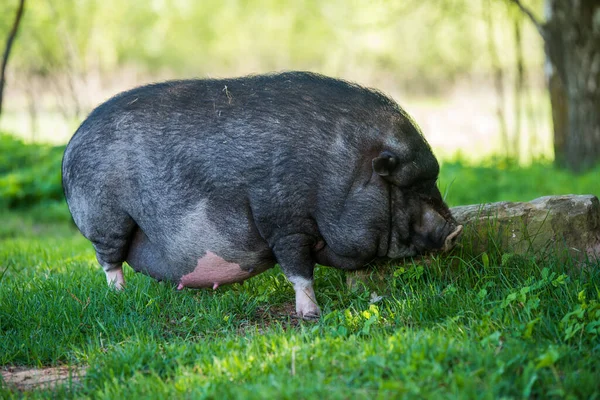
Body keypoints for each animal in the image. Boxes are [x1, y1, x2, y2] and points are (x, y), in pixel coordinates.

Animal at [63, 72, 462, 320]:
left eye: (432, 181)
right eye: (408, 186)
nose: (455, 230)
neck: (340, 174)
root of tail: (71, 141)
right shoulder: (284, 222)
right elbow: (299, 270)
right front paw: (311, 315)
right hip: (106, 219)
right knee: (109, 262)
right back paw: (119, 296)